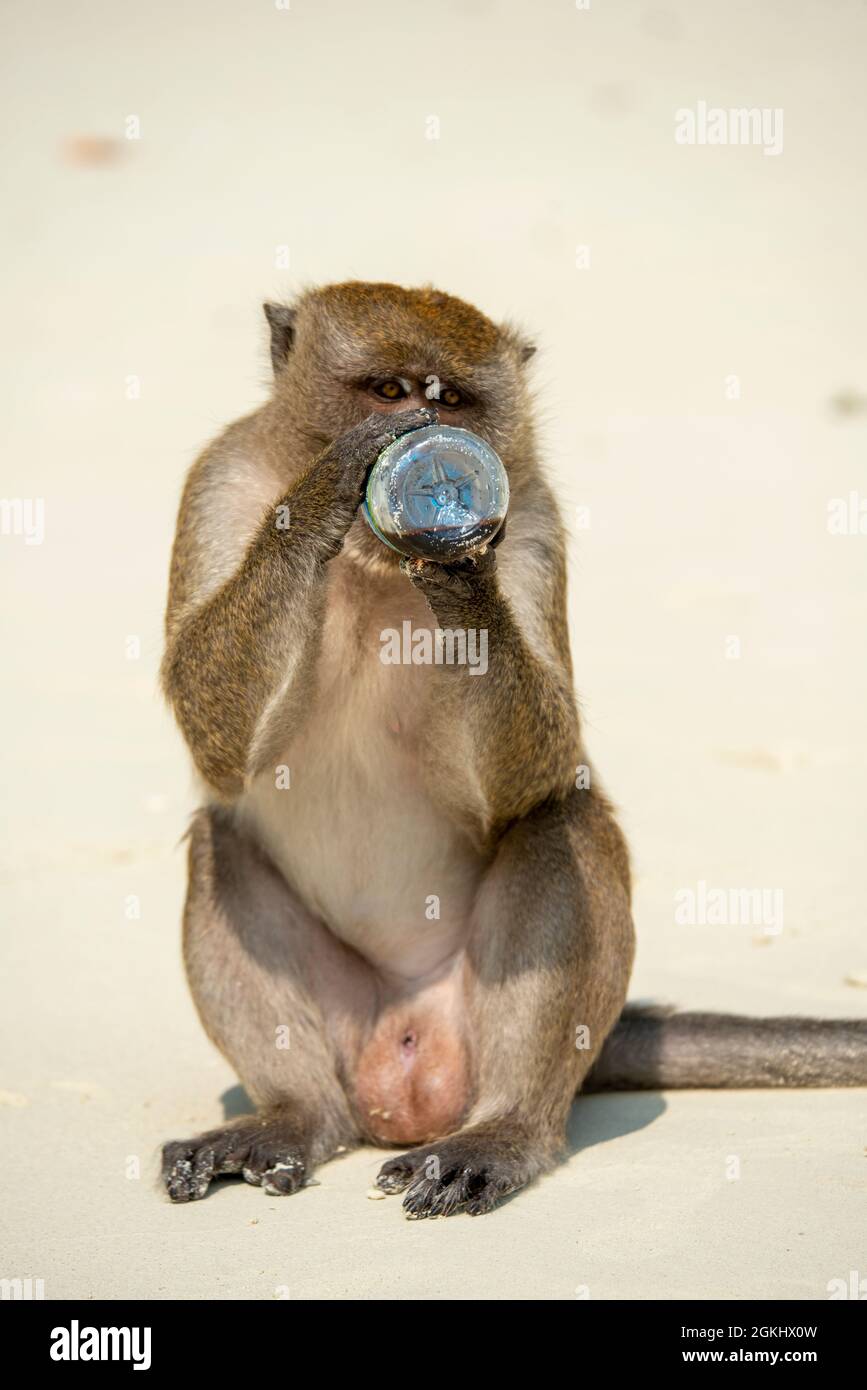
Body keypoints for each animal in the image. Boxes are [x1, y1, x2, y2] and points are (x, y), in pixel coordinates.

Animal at [161, 282, 867, 1217]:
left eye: (453, 401)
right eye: (388, 392)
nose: (425, 431)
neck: (368, 566)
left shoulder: (532, 520)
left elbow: (537, 773)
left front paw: (461, 573)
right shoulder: (220, 479)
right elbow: (216, 745)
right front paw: (329, 487)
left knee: (562, 823)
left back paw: (503, 1133)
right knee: (221, 842)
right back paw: (291, 1115)